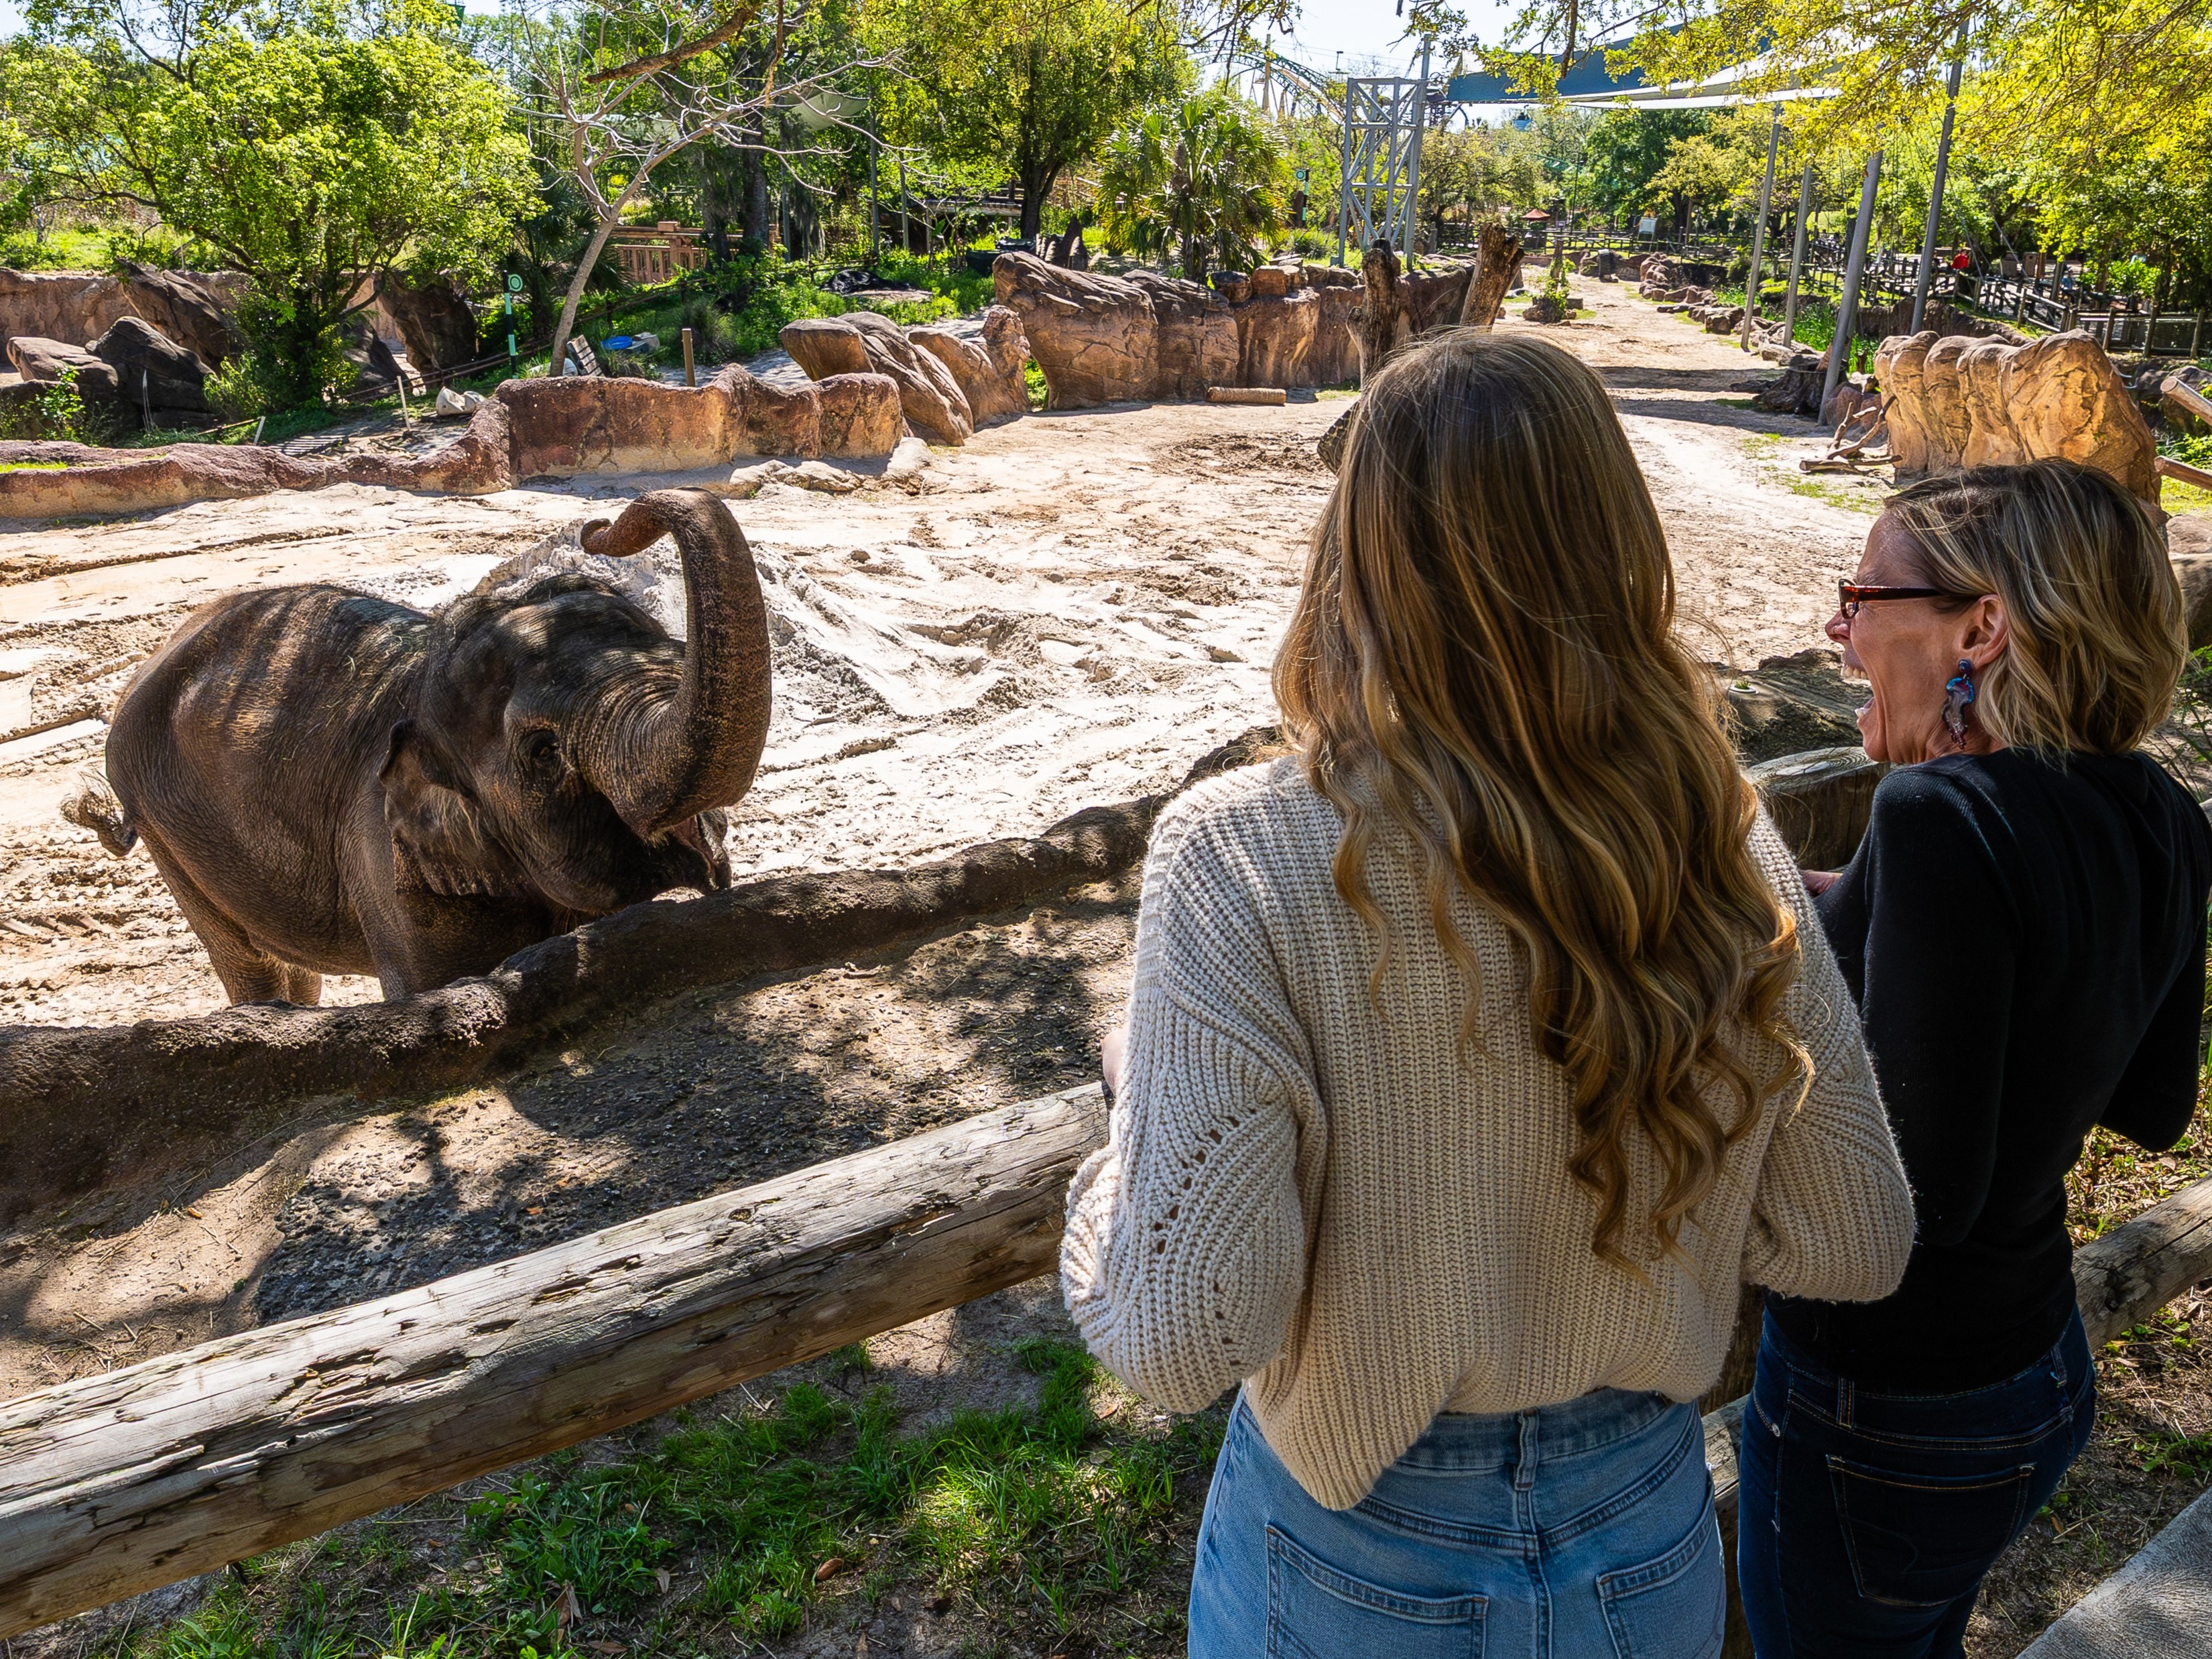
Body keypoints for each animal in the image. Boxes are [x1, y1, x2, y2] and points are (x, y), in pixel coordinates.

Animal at [71, 488, 770, 1004]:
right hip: (167, 834)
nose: (597, 527)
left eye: (678, 660)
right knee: (252, 966)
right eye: (542, 752)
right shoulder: (389, 868)